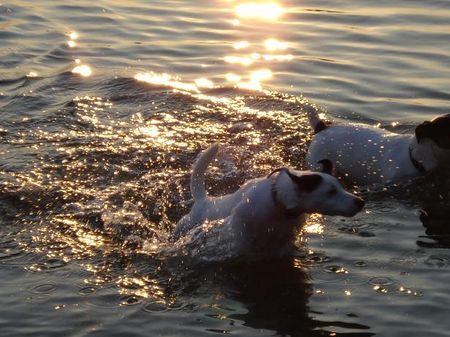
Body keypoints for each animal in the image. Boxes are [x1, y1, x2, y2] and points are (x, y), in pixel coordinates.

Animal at [173, 143, 366, 258]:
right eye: (330, 191)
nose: (360, 202)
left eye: (340, 186)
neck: (279, 206)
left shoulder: (283, 244)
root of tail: (203, 200)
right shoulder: (241, 240)